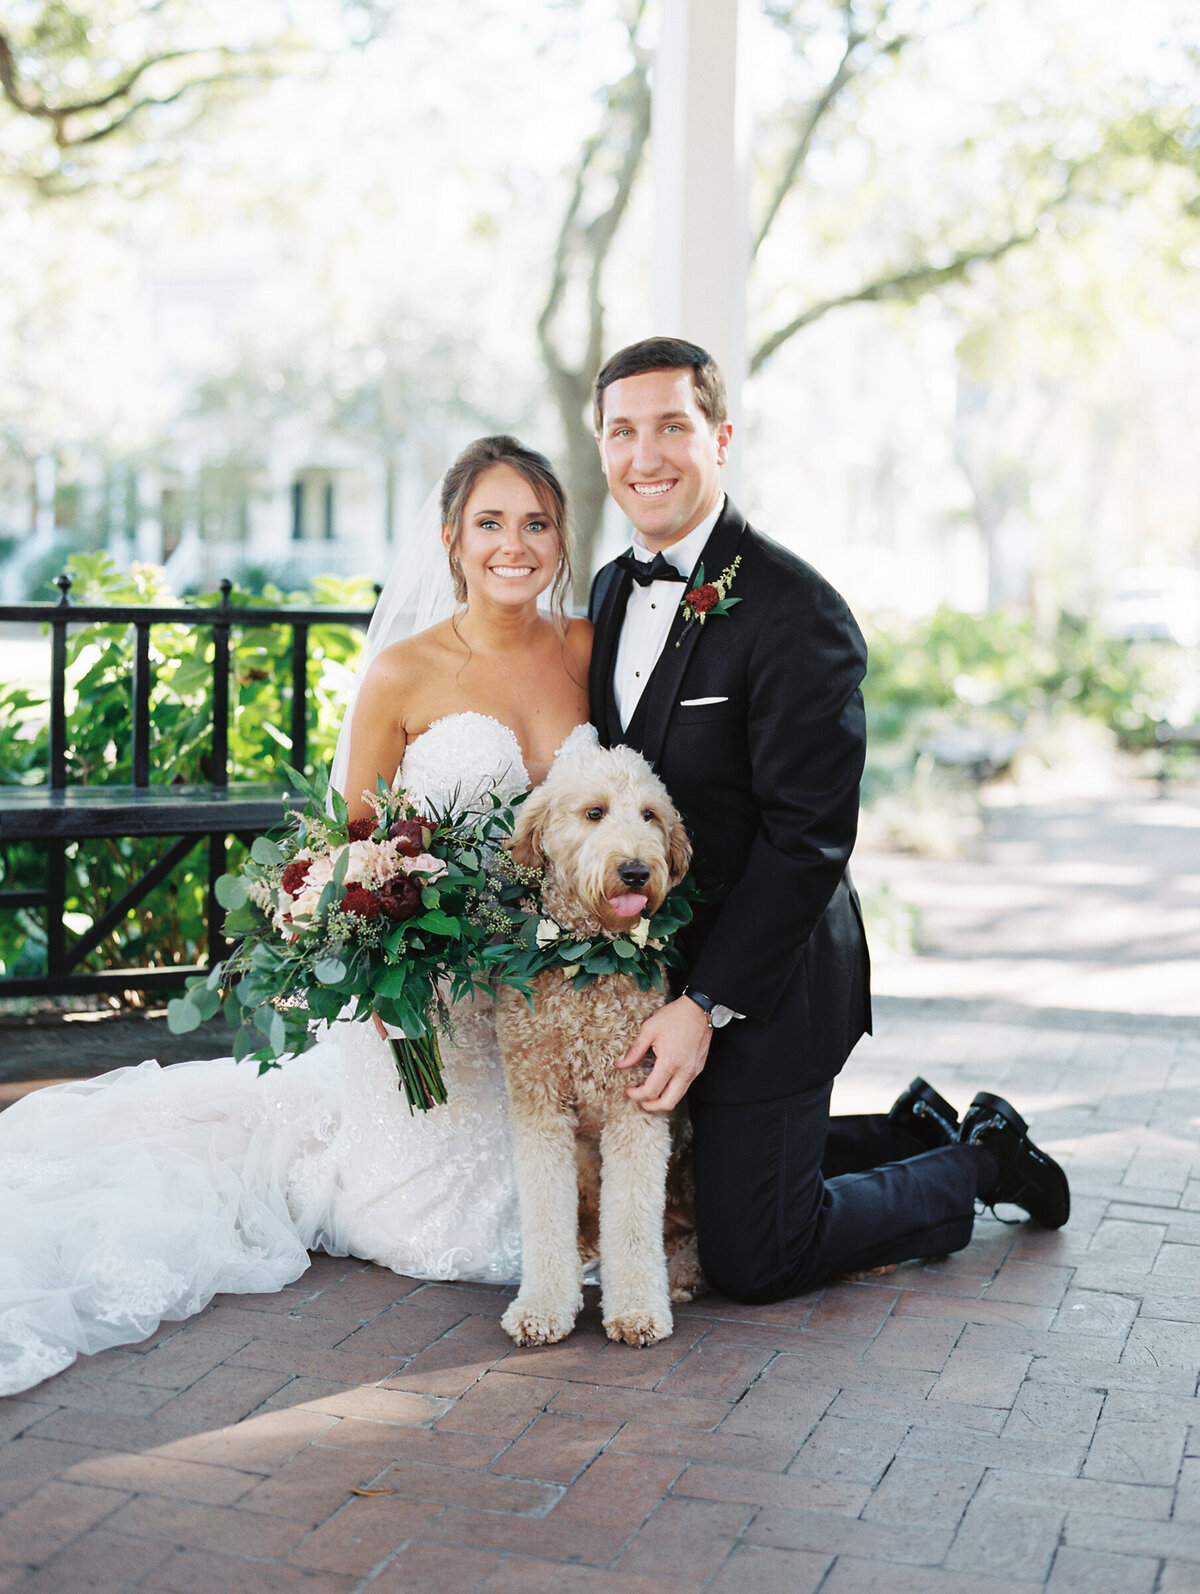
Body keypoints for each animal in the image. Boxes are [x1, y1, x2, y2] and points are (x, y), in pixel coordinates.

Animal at [494, 742, 701, 1345]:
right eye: (594, 813)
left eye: (650, 815)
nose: (635, 870)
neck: (588, 963)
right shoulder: (539, 1102)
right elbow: (546, 1213)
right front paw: (542, 1308)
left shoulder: (637, 1103)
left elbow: (631, 1221)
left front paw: (637, 1311)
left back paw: (683, 1277)